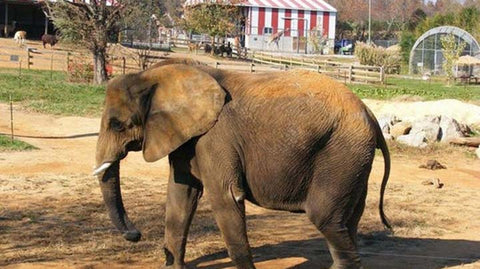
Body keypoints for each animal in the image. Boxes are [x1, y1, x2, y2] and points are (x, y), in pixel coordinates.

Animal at [93, 58, 390, 268]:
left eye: (117, 125)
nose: (135, 235)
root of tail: (371, 114)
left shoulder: (215, 137)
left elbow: (225, 197)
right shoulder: (185, 138)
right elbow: (181, 194)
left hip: (341, 152)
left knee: (325, 216)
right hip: (353, 159)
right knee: (348, 220)